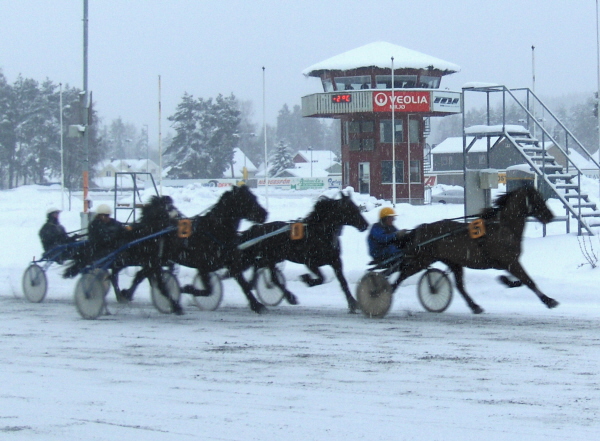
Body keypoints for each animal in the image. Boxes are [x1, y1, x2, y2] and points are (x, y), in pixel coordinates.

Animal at [236, 192, 368, 312]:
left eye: (356, 207)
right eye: (351, 209)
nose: (365, 225)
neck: (319, 232)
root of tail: (258, 228)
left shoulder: (335, 261)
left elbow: (343, 281)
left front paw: (353, 303)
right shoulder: (310, 262)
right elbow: (322, 278)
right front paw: (306, 279)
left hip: (276, 257)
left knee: (259, 265)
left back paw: (252, 285)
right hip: (271, 257)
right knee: (273, 277)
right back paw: (289, 297)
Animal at [394, 186, 556, 312]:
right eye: (537, 198)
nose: (550, 216)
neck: (504, 228)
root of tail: (421, 228)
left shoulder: (509, 263)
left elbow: (522, 280)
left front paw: (505, 280)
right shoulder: (510, 262)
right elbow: (529, 281)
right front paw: (549, 301)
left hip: (453, 262)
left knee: (459, 286)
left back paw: (474, 306)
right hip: (421, 260)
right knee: (401, 276)